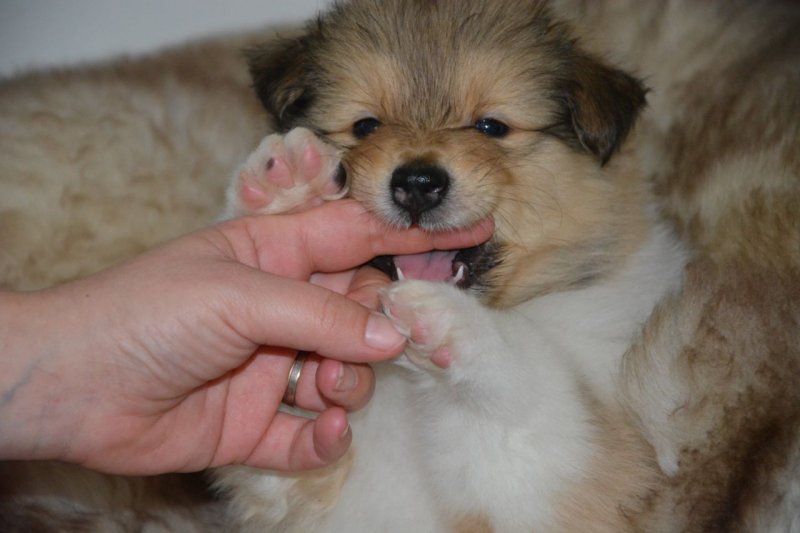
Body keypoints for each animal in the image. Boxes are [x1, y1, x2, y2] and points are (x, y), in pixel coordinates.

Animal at [1, 0, 797, 531]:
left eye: (490, 126)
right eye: (365, 126)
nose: (417, 181)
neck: (411, 398)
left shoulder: (574, 479)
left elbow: (536, 391)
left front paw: (445, 323)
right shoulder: (332, 496)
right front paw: (286, 198)